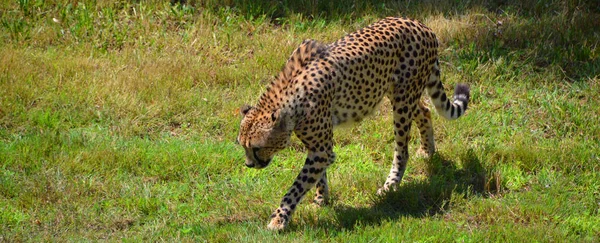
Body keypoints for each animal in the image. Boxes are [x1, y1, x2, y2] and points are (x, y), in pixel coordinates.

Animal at [237, 16, 472, 230]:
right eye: (243, 146)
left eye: (256, 148)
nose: (249, 165)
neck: (288, 100)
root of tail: (420, 24)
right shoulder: (318, 147)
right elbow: (317, 176)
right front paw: (321, 200)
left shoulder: (321, 148)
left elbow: (296, 187)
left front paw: (279, 219)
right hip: (399, 93)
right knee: (424, 110)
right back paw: (427, 151)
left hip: (403, 100)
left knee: (401, 149)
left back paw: (391, 185)